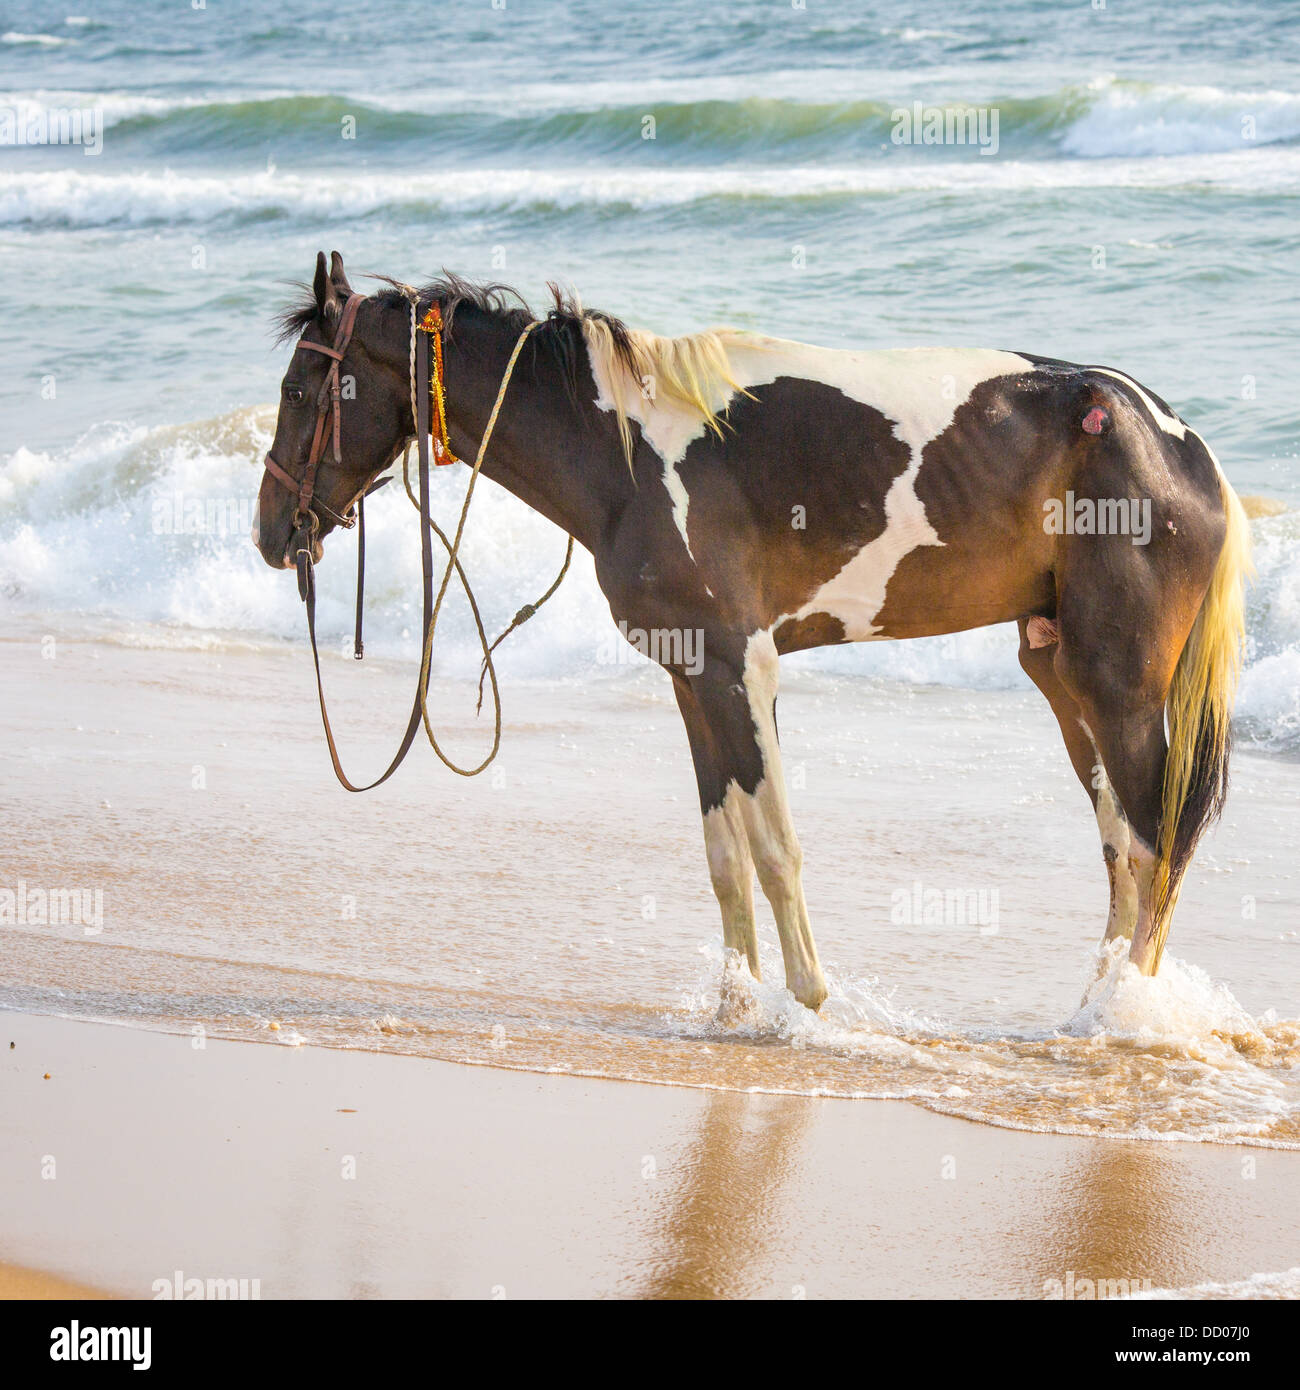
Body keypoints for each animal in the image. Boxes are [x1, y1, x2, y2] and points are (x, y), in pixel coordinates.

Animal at [254, 250, 1250, 1012]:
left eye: (302, 387)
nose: (272, 532)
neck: (627, 452)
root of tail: (1180, 443)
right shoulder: (692, 678)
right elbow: (724, 851)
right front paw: (736, 1009)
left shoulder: (741, 667)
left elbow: (774, 846)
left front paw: (809, 1002)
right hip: (1060, 675)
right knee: (1122, 849)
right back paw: (1096, 1010)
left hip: (1118, 688)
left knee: (1154, 843)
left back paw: (1120, 1021)